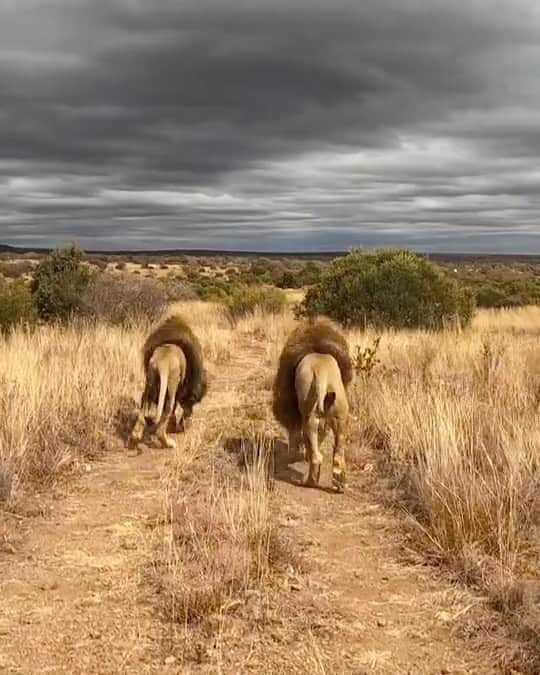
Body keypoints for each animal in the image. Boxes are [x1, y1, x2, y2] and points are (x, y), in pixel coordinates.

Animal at [127, 314, 208, 452]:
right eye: (192, 402)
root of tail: (163, 362)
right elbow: (175, 409)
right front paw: (175, 426)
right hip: (172, 382)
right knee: (167, 410)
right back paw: (168, 443)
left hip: (150, 379)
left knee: (144, 404)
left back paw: (135, 437)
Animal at [270, 316, 354, 492]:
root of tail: (322, 372)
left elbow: (296, 438)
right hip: (340, 416)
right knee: (338, 454)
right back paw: (339, 483)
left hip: (309, 415)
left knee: (316, 457)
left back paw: (309, 481)